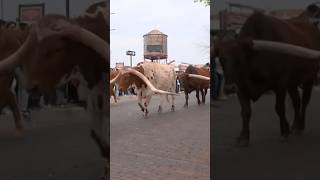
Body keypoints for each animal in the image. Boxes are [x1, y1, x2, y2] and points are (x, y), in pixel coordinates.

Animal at [215, 5, 320, 147]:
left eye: (240, 59)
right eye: (221, 60)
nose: (229, 88)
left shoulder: (280, 84)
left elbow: (279, 108)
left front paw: (284, 131)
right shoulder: (241, 88)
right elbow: (245, 112)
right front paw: (243, 137)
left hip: (309, 78)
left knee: (304, 102)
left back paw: (300, 127)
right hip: (292, 83)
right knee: (296, 101)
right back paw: (295, 126)